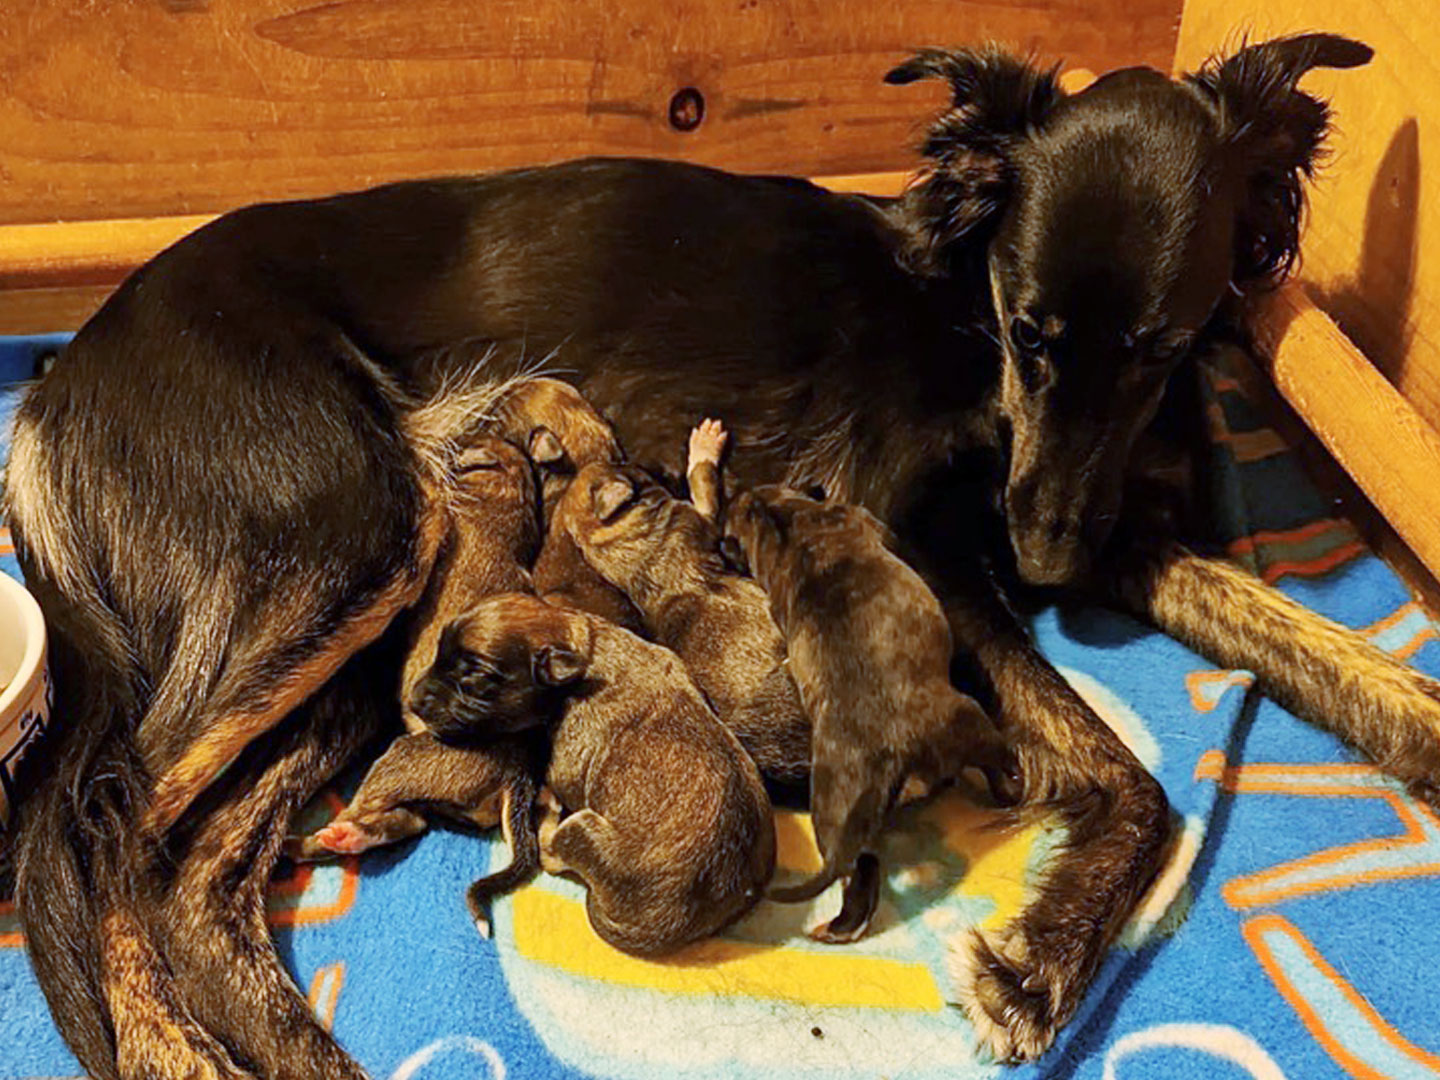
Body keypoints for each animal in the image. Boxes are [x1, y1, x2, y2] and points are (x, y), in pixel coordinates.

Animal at [410, 592, 776, 955]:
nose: (412, 701)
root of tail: (663, 930)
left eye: (475, 679)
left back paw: (548, 810)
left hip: (581, 827)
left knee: (551, 855)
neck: (583, 644)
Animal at [723, 483, 1018, 942]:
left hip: (834, 818)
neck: (785, 516)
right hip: (971, 722)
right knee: (999, 764)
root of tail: (896, 754)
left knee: (860, 874)